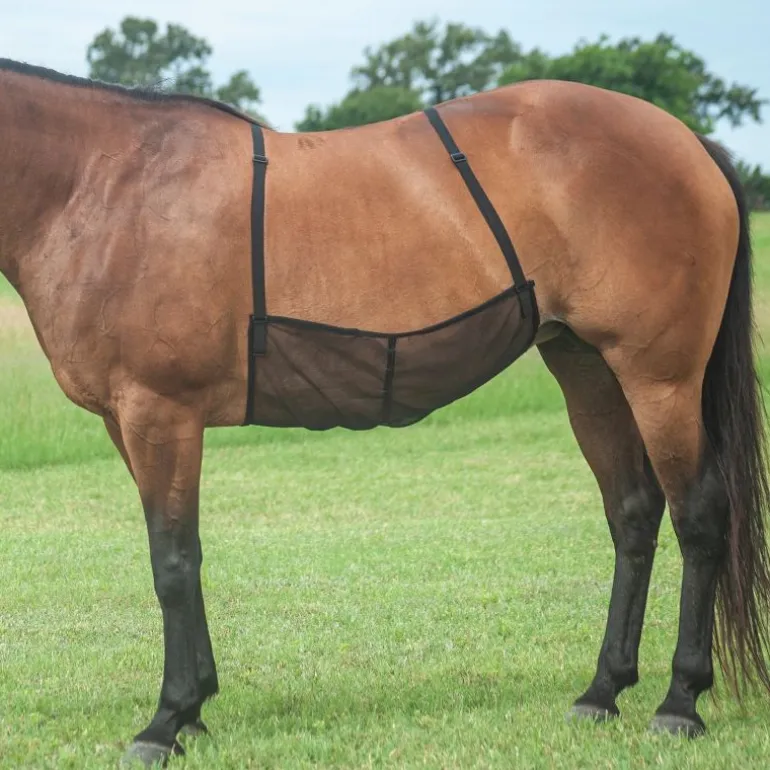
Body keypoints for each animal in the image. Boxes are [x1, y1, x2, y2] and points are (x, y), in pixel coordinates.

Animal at [1, 57, 769, 767]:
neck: (106, 185)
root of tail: (686, 138)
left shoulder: (159, 412)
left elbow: (172, 562)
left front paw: (168, 719)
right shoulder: (128, 421)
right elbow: (179, 560)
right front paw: (193, 711)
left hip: (659, 377)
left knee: (700, 517)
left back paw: (679, 702)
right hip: (587, 367)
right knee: (633, 514)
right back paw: (603, 690)